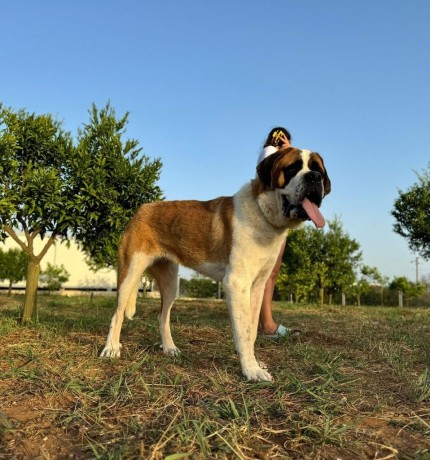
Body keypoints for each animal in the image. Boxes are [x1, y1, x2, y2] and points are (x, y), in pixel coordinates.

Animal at [101, 146, 332, 380]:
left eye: (318, 170)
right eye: (293, 168)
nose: (314, 177)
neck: (263, 212)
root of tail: (143, 208)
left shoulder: (257, 287)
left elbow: (251, 330)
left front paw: (253, 363)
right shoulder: (236, 284)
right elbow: (244, 331)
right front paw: (251, 370)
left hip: (170, 283)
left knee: (162, 316)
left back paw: (169, 348)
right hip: (130, 272)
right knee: (117, 313)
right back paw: (111, 348)